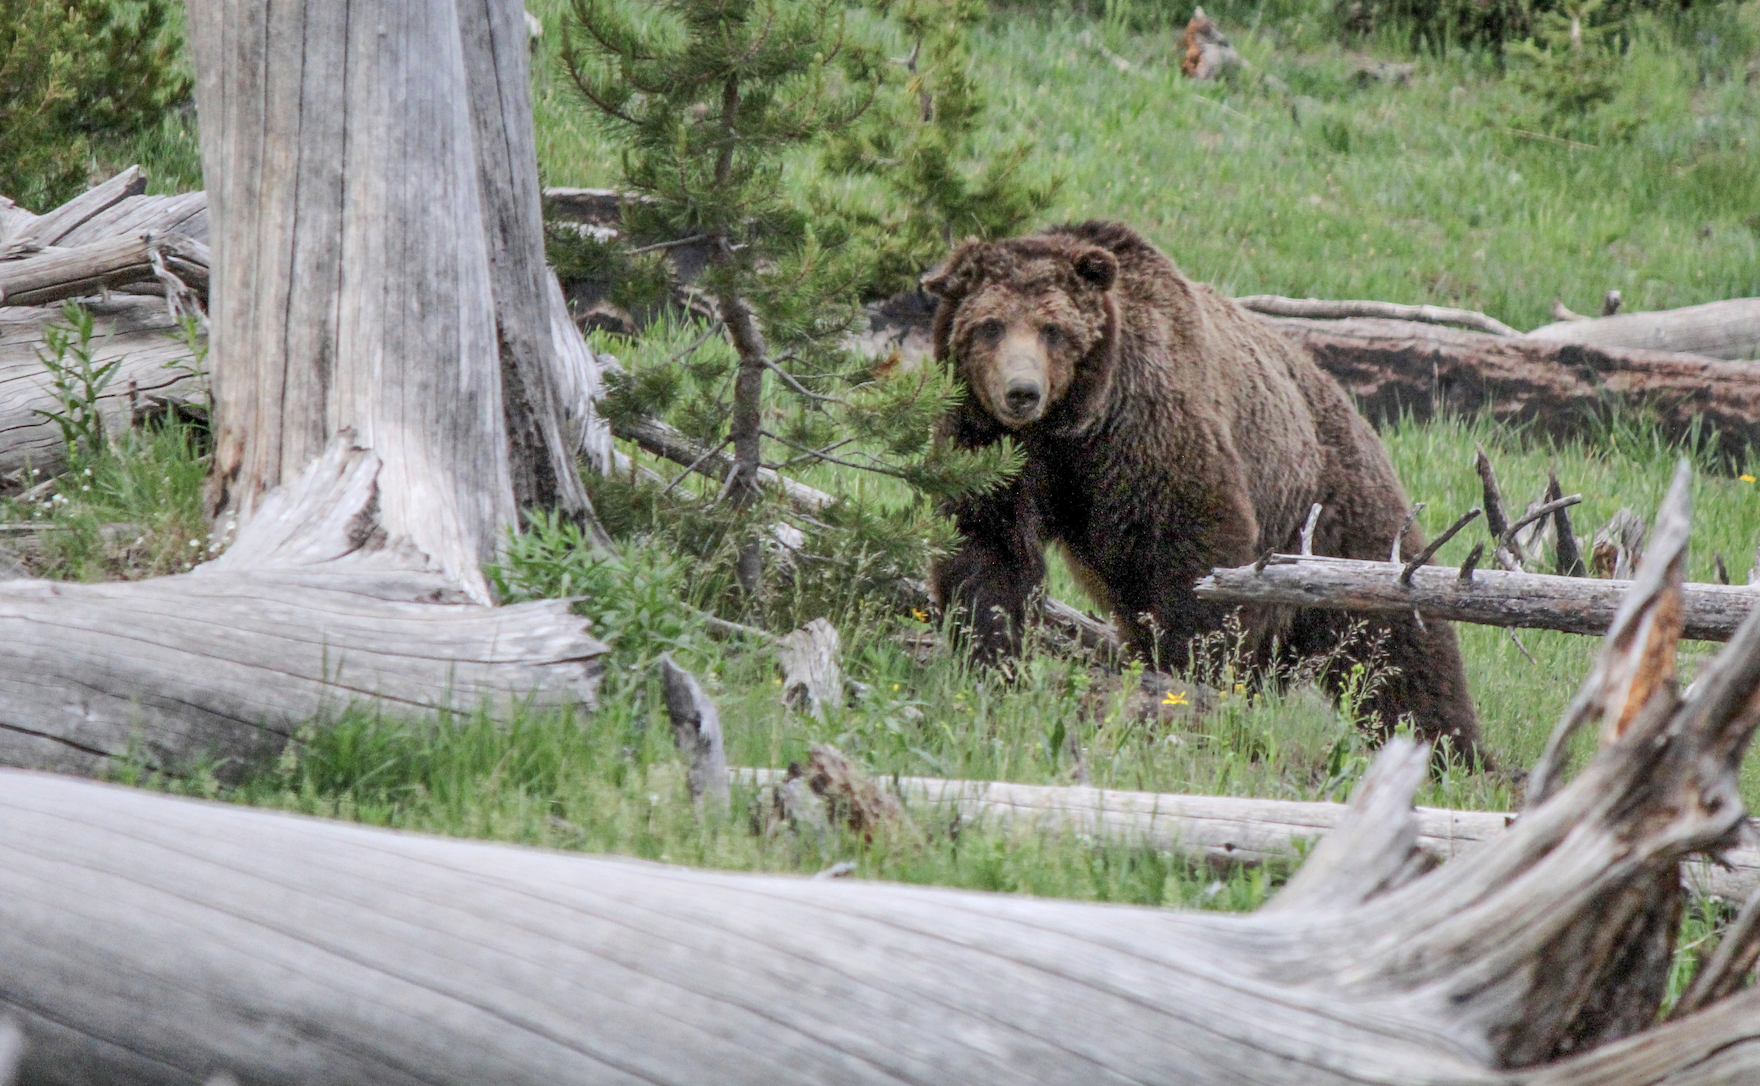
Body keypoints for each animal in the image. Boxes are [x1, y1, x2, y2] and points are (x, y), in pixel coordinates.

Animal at [924, 220, 1487, 765]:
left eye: (1052, 329)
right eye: (990, 325)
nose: (1022, 392)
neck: (1069, 428)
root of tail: (1348, 404)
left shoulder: (1149, 432)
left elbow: (1189, 558)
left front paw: (1186, 677)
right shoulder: (993, 452)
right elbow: (988, 550)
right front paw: (991, 655)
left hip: (1332, 514)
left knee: (1396, 644)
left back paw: (1451, 749)